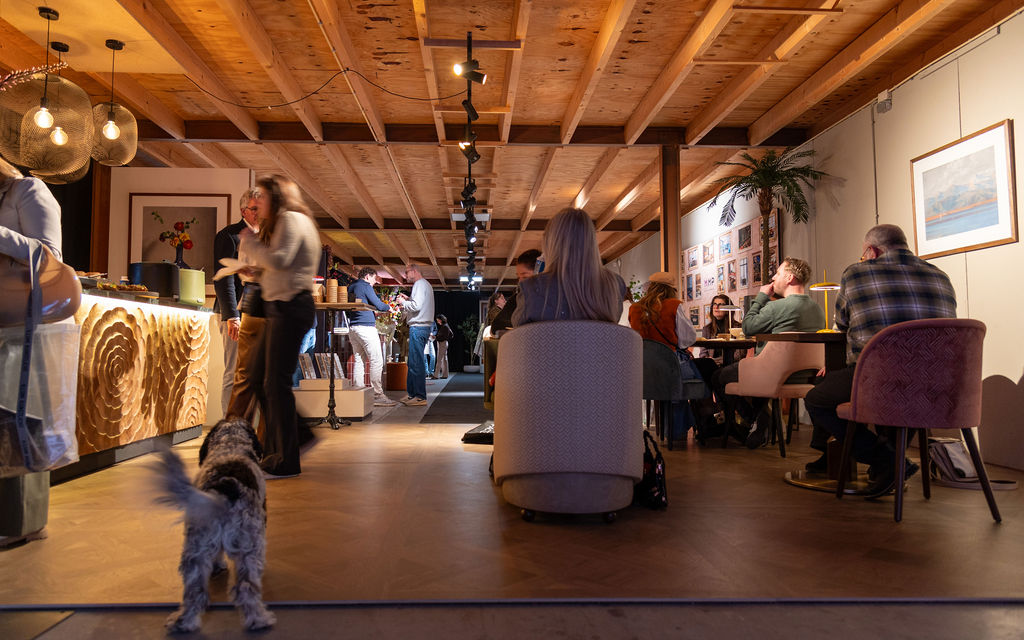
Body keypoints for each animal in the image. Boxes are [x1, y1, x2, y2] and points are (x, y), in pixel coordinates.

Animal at [153, 418, 275, 633]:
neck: (230, 443)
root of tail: (223, 491)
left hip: (195, 550)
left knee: (195, 593)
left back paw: (182, 623)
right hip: (250, 547)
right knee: (246, 588)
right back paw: (260, 620)